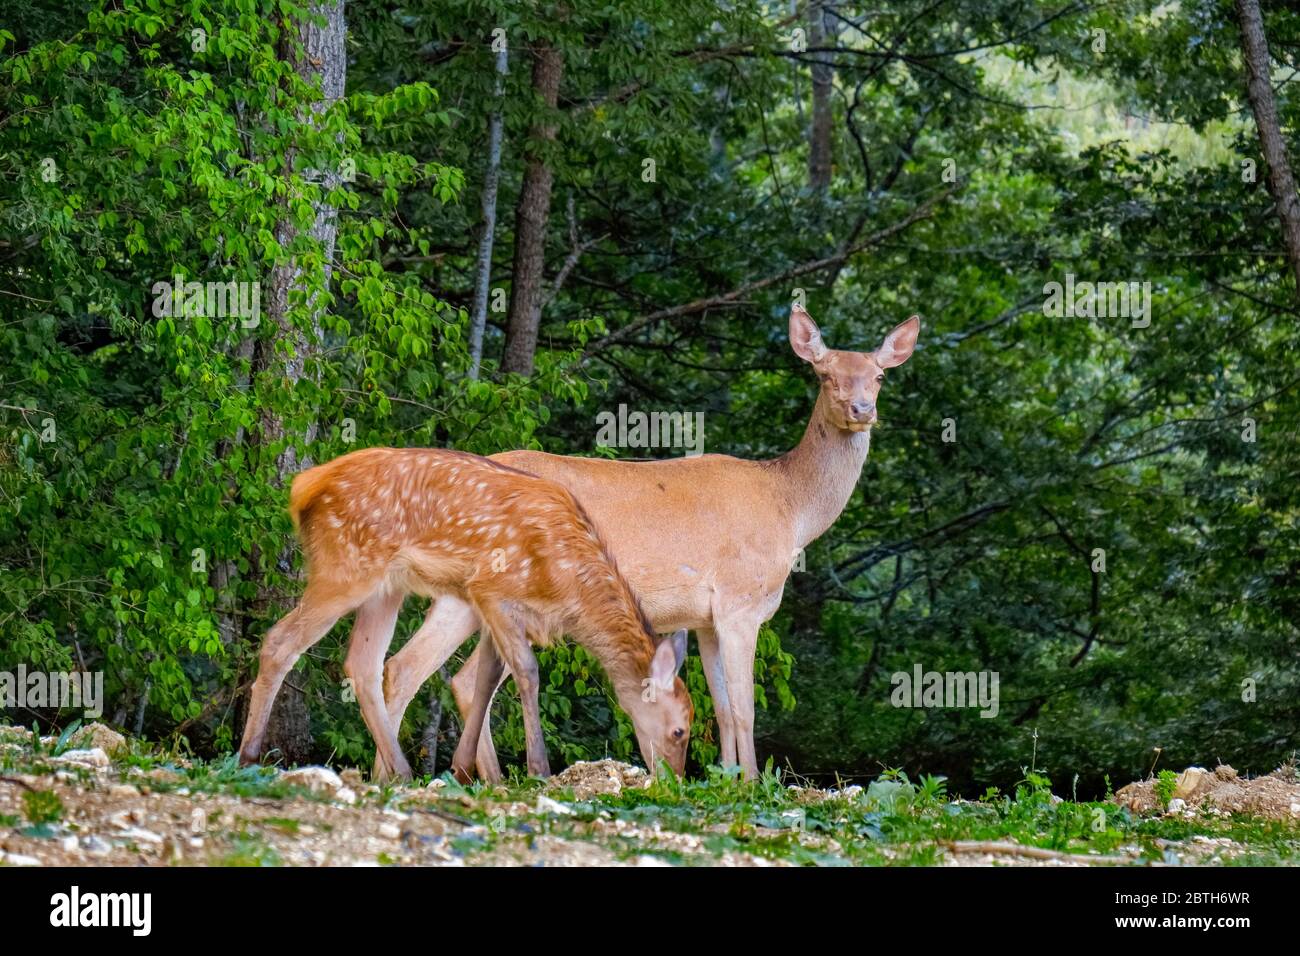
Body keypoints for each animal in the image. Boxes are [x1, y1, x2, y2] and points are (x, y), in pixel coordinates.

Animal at [237, 447, 696, 780]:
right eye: (679, 730)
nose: (673, 781)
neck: (567, 587)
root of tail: (304, 485)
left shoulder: (489, 604)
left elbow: (485, 679)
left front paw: (462, 769)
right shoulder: (492, 590)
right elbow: (527, 672)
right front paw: (539, 770)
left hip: (386, 587)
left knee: (365, 664)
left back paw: (401, 771)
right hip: (345, 567)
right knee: (280, 641)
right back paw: (248, 756)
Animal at [377, 310, 925, 780]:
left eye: (879, 376)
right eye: (825, 374)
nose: (862, 410)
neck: (790, 513)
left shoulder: (704, 618)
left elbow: (722, 709)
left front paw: (728, 781)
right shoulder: (740, 600)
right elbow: (745, 709)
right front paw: (751, 783)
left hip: (467, 588)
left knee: (422, 671)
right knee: (443, 674)